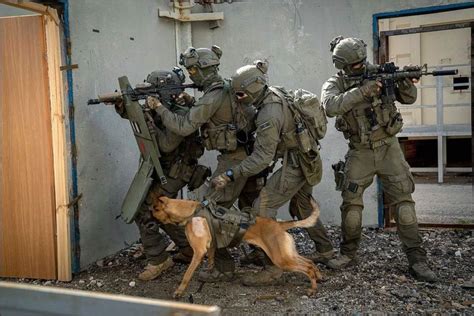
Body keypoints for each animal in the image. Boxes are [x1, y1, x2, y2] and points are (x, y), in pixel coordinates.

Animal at [152, 195, 322, 296]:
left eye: (154, 210)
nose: (149, 220)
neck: (190, 212)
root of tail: (279, 225)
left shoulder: (198, 252)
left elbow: (187, 274)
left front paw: (179, 291)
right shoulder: (210, 247)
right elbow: (212, 259)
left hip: (281, 259)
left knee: (306, 267)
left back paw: (313, 288)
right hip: (287, 254)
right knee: (309, 262)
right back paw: (319, 276)